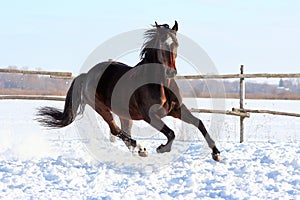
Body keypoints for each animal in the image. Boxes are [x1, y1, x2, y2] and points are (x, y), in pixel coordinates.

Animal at [36, 21, 221, 162]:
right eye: (162, 43)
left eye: (176, 44)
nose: (170, 72)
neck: (160, 84)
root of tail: (87, 75)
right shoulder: (150, 116)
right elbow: (171, 133)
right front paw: (162, 148)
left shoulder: (177, 110)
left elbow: (199, 123)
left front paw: (216, 153)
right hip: (102, 109)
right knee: (116, 131)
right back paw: (141, 149)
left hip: (125, 114)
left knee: (123, 133)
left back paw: (139, 151)